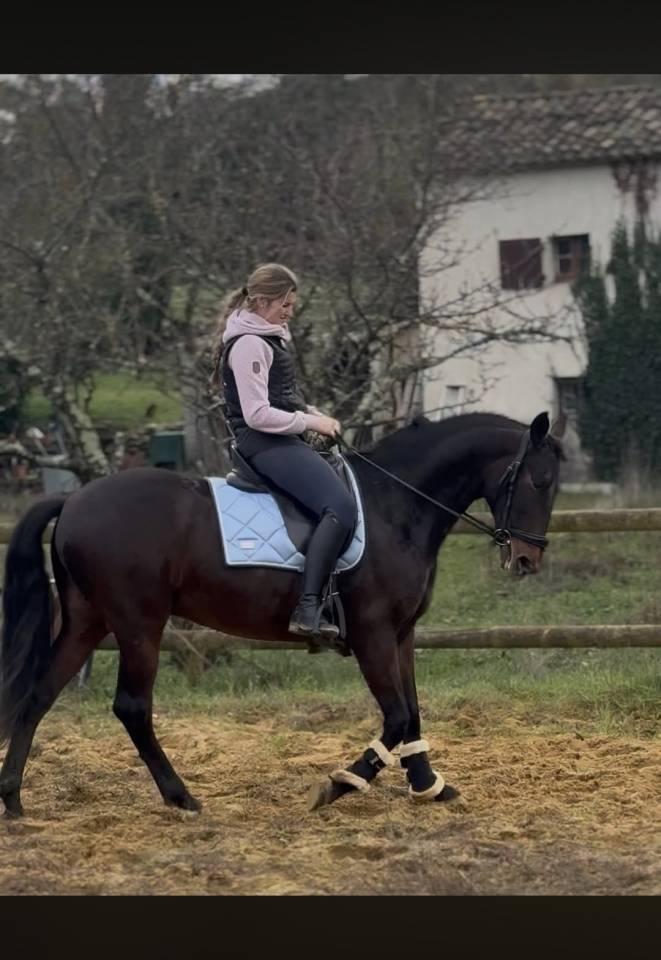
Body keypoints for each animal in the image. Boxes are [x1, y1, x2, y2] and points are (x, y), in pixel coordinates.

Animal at [0, 410, 564, 817]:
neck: (395, 506)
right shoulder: (374, 634)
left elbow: (413, 711)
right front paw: (339, 785)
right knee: (132, 707)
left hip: (87, 622)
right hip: (139, 625)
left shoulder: (402, 633)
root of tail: (73, 498)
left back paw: (13, 799)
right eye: (539, 482)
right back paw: (182, 798)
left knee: (38, 695)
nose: (526, 560)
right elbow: (398, 715)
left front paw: (428, 785)